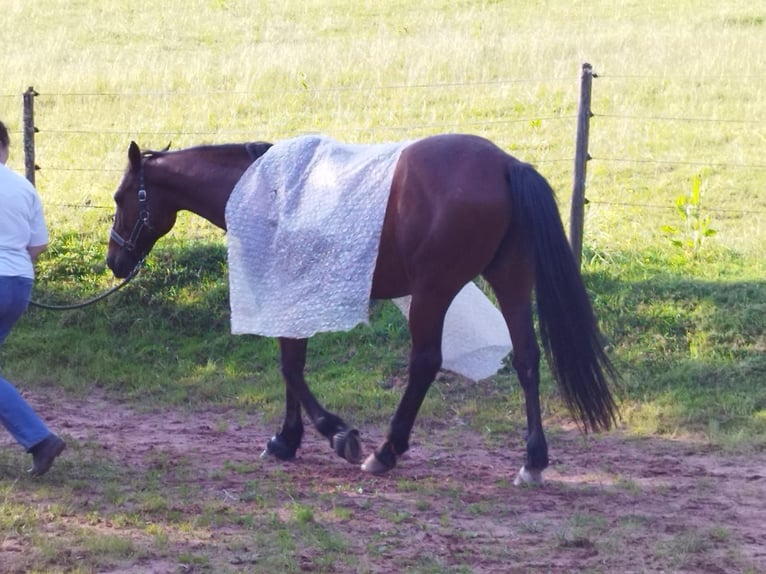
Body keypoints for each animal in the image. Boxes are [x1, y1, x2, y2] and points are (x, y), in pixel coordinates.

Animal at [108, 134, 620, 486]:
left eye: (119, 198)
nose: (115, 262)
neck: (261, 192)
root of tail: (507, 165)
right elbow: (292, 366)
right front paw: (288, 439)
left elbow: (290, 368)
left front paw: (334, 434)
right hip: (511, 280)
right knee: (527, 358)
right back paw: (533, 461)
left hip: (433, 292)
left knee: (425, 363)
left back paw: (387, 451)